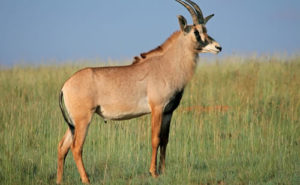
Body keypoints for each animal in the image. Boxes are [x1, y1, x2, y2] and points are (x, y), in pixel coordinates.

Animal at [56, 0, 221, 184]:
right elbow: (155, 139)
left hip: (73, 123)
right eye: (196, 31)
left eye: (205, 29)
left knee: (63, 147)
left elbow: (165, 140)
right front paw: (153, 172)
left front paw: (163, 171)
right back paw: (86, 180)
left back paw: (59, 180)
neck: (166, 64)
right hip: (83, 120)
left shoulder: (168, 112)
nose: (218, 47)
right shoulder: (157, 109)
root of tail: (66, 85)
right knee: (76, 147)